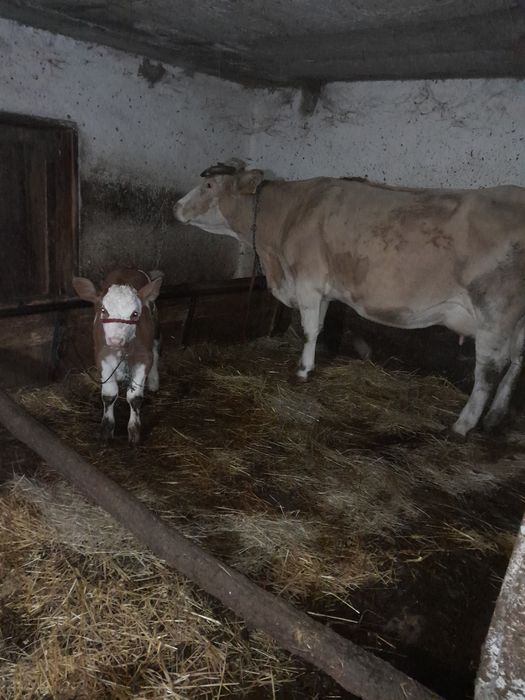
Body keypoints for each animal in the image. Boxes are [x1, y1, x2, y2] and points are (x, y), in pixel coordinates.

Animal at [72, 268, 163, 445]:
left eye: (134, 314)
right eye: (103, 311)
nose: (115, 340)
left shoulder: (144, 357)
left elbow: (135, 397)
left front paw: (134, 432)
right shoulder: (102, 356)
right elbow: (109, 394)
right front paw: (106, 429)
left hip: (155, 326)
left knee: (156, 350)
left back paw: (154, 382)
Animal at [174, 159, 525, 438]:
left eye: (208, 185)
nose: (175, 207)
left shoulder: (308, 280)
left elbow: (308, 329)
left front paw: (302, 371)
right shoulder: (325, 288)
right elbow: (320, 326)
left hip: (495, 310)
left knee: (488, 371)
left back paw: (462, 426)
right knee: (518, 359)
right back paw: (495, 417)